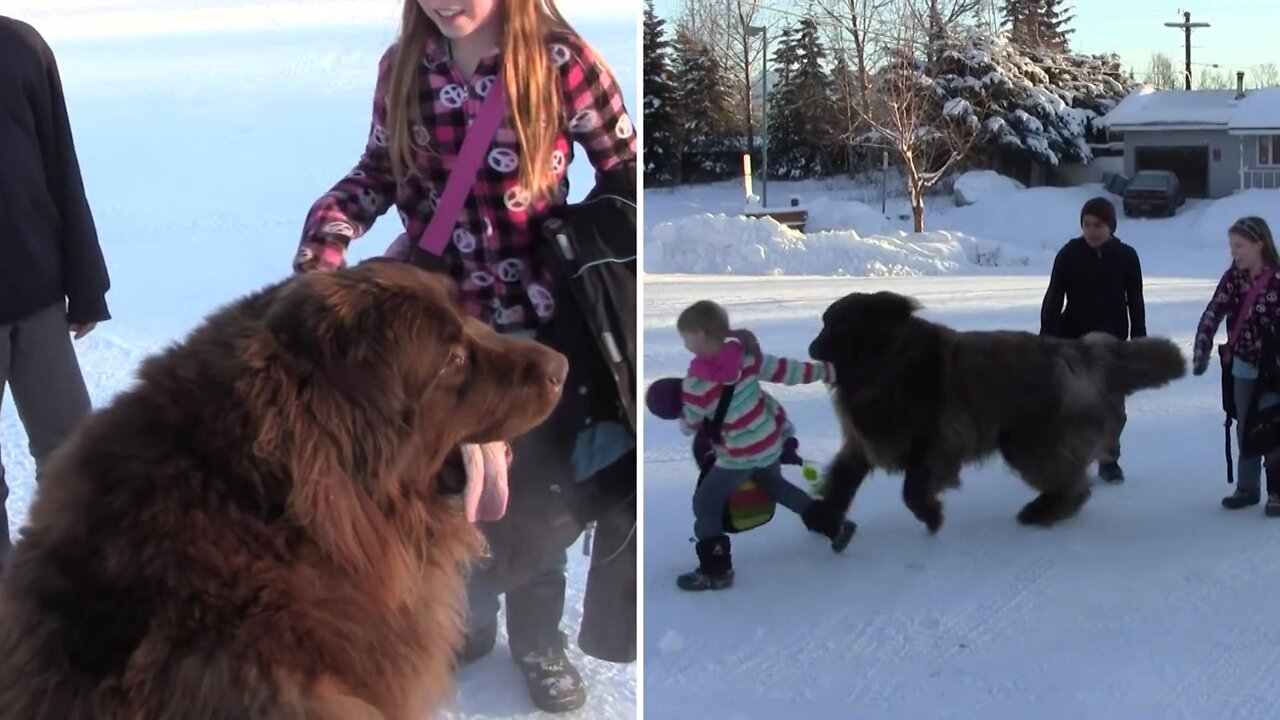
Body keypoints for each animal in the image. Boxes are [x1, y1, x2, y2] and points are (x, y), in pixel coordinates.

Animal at [814, 289, 1182, 532]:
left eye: (839, 326)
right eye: (824, 322)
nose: (812, 347)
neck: (885, 365)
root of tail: (1078, 352)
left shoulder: (938, 442)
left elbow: (913, 490)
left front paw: (932, 516)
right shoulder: (861, 445)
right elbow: (840, 481)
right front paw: (825, 518)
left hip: (1028, 442)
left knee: (1073, 485)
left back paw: (1042, 513)